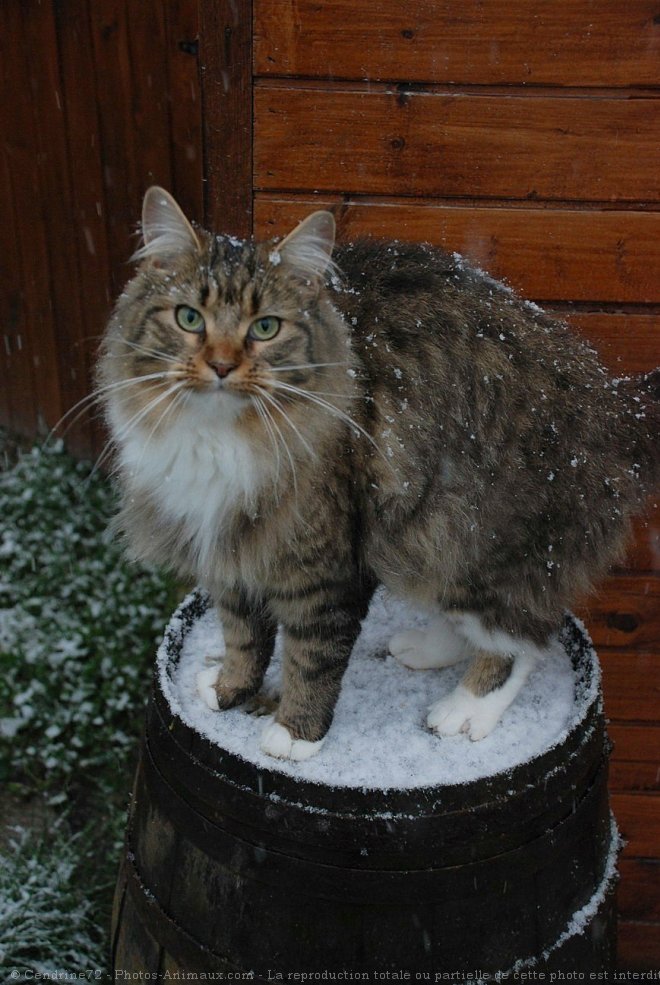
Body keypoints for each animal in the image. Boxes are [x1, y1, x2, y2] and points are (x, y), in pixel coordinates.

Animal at [98, 188, 660, 764]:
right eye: (190, 318)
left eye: (265, 327)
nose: (221, 365)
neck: (222, 437)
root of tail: (613, 402)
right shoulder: (230, 546)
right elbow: (243, 634)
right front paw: (231, 688)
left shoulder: (327, 565)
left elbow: (312, 657)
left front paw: (296, 733)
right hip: (426, 542)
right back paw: (424, 648)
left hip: (474, 541)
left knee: (525, 637)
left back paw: (464, 710)